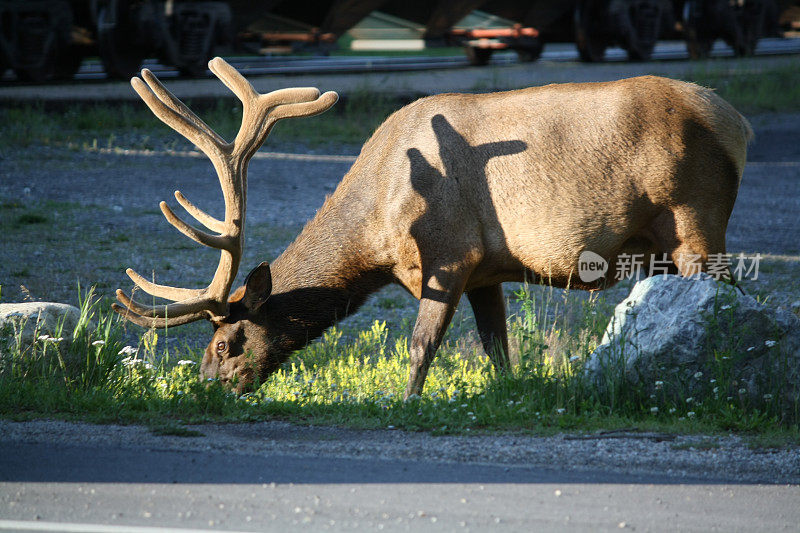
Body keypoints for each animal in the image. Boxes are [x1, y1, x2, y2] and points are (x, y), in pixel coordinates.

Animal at [111, 58, 752, 400]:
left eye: (226, 342)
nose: (204, 387)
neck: (376, 229)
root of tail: (737, 123)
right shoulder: (487, 271)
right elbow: (498, 351)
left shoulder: (450, 254)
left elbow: (421, 347)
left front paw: (404, 404)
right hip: (669, 244)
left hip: (696, 221)